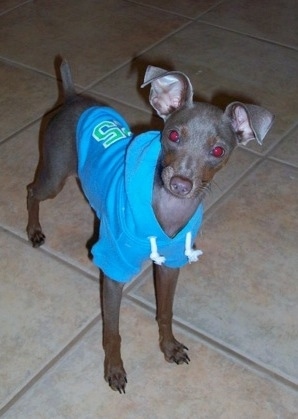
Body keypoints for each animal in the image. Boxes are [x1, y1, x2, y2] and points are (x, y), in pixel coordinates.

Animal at [26, 60, 274, 394]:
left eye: (218, 151)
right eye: (173, 135)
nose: (180, 184)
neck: (167, 211)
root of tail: (72, 98)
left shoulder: (171, 264)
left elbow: (165, 311)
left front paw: (169, 347)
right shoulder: (114, 269)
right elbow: (113, 330)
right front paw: (114, 369)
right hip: (54, 177)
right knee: (32, 191)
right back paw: (33, 230)